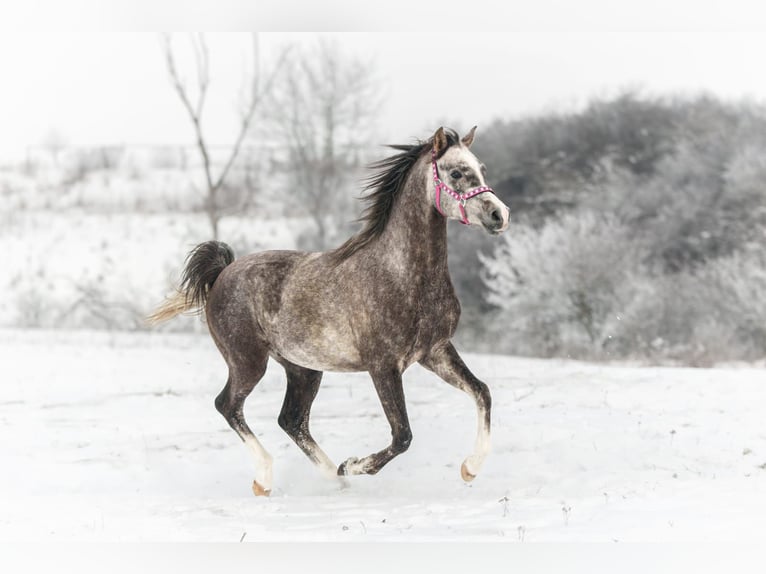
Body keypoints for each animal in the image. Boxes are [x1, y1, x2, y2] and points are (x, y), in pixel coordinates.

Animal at [148, 126, 510, 496]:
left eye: (481, 169)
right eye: (456, 173)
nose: (500, 215)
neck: (403, 274)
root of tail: (222, 273)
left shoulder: (435, 351)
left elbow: (482, 392)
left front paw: (470, 469)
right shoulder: (383, 366)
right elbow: (403, 436)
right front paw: (354, 464)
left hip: (303, 369)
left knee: (292, 420)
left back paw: (335, 479)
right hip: (248, 362)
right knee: (228, 406)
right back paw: (267, 478)